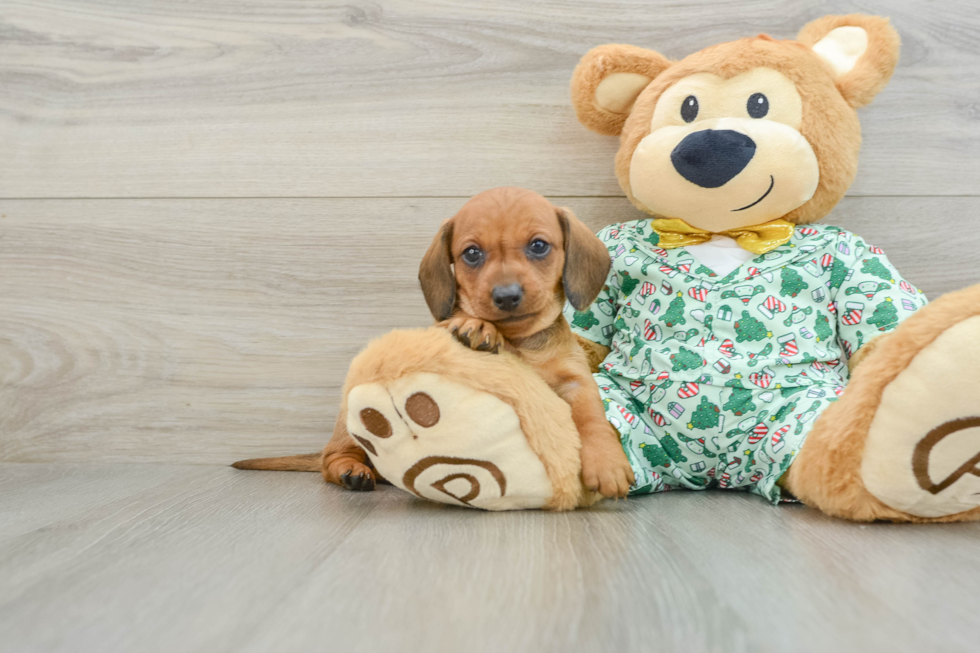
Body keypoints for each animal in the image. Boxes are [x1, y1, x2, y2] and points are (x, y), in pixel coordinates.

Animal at [235, 188, 636, 500]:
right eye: (471, 253)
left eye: (539, 246)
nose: (506, 296)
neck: (518, 340)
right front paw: (475, 325)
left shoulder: (577, 382)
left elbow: (593, 419)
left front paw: (608, 463)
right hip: (350, 425)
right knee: (329, 460)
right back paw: (353, 471)